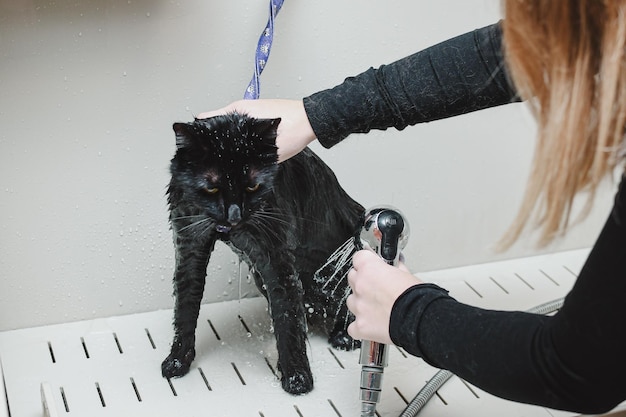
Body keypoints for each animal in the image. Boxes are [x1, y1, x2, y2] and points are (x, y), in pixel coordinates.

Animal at [161, 113, 364, 394]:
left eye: (253, 186)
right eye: (212, 188)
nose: (234, 216)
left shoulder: (276, 257)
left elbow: (287, 318)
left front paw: (297, 377)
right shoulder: (189, 245)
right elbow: (185, 307)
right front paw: (178, 360)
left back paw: (344, 336)